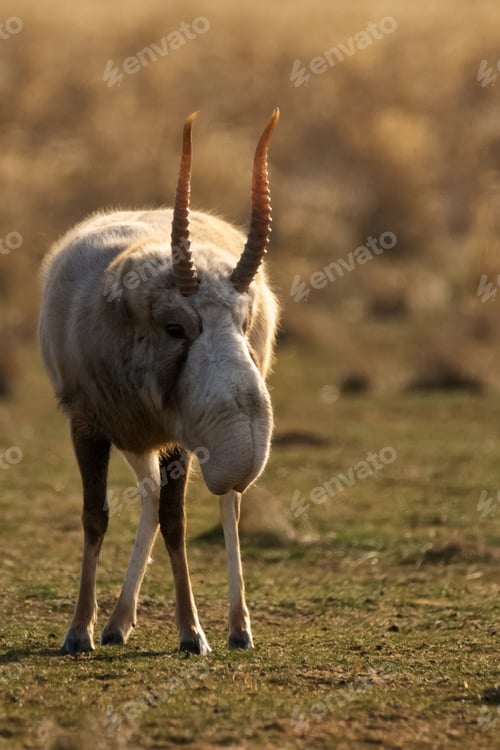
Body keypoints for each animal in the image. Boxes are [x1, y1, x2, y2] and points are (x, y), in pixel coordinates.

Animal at [38, 109, 280, 655]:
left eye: (243, 321)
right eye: (176, 327)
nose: (245, 452)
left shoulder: (178, 439)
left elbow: (177, 522)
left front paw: (192, 633)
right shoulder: (87, 424)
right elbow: (95, 515)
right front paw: (79, 630)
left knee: (226, 508)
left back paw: (239, 628)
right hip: (135, 435)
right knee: (148, 494)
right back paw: (116, 623)